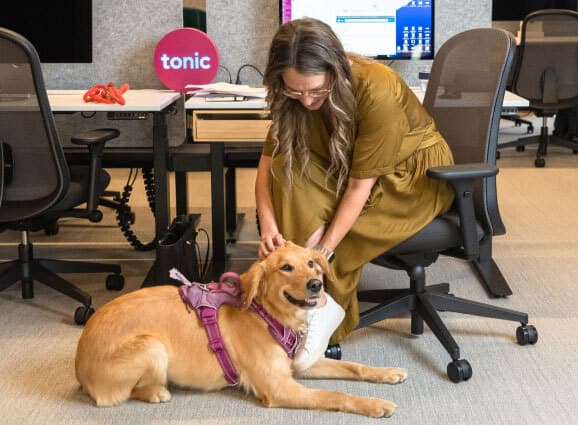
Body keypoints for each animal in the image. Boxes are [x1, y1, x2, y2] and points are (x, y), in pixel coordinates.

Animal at [75, 240, 404, 416]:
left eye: (311, 263)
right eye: (286, 267)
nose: (316, 284)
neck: (266, 316)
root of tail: (79, 364)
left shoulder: (296, 368)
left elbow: (354, 367)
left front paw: (388, 373)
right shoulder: (279, 388)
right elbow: (336, 395)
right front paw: (374, 404)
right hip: (152, 345)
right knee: (123, 394)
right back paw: (157, 392)